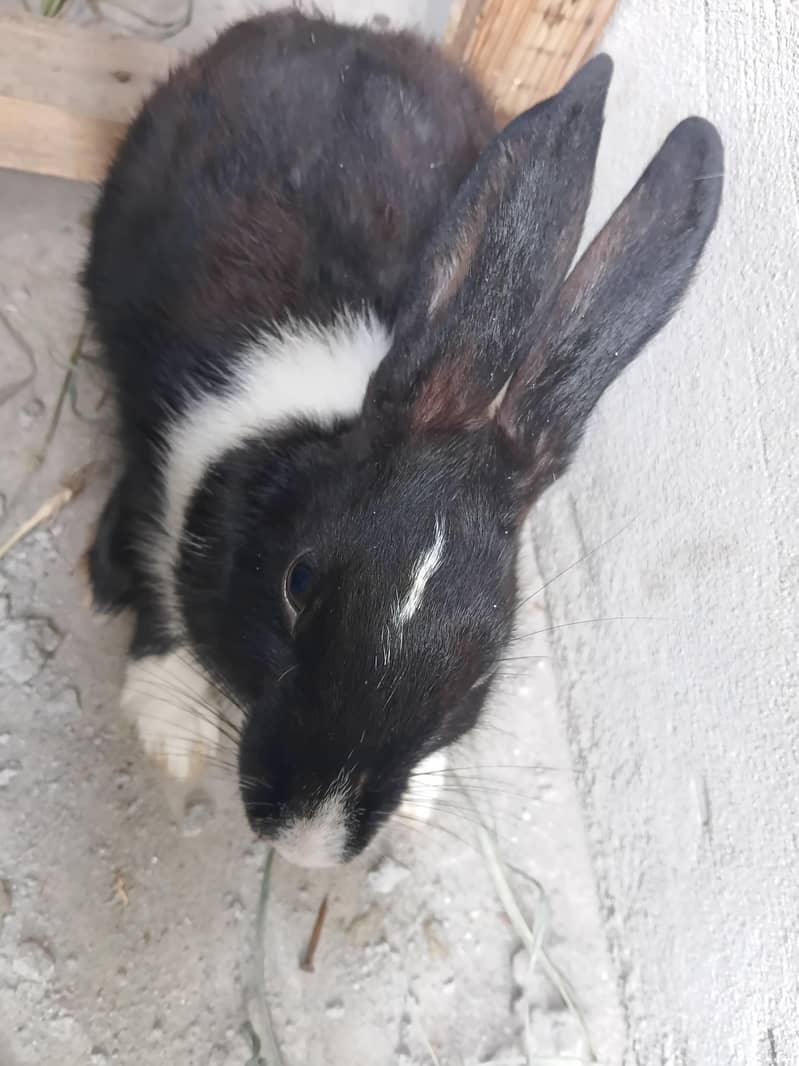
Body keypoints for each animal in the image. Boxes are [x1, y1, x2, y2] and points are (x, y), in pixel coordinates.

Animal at [83, 9, 723, 867]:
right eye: (299, 583)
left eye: (486, 655)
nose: (311, 844)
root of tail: (323, 26)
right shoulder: (166, 457)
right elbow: (157, 577)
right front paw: (170, 724)